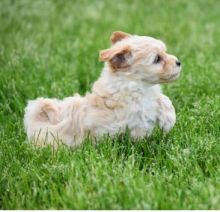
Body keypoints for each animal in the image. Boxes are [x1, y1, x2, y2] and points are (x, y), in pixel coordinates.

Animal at [24, 31, 182, 147]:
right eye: (157, 59)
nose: (178, 62)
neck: (134, 83)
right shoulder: (133, 116)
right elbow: (147, 114)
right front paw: (167, 122)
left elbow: (161, 99)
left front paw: (169, 117)